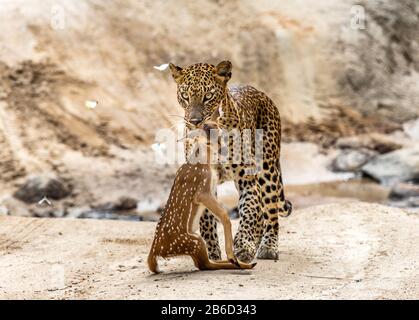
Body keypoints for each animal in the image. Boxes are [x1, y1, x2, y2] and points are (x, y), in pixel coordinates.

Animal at [167, 60, 292, 262]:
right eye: (185, 95)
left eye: (208, 96)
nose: (194, 121)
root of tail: (261, 93)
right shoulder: (202, 181)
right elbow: (207, 220)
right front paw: (211, 254)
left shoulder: (246, 180)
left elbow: (248, 211)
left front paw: (242, 246)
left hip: (267, 170)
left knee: (270, 212)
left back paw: (268, 247)